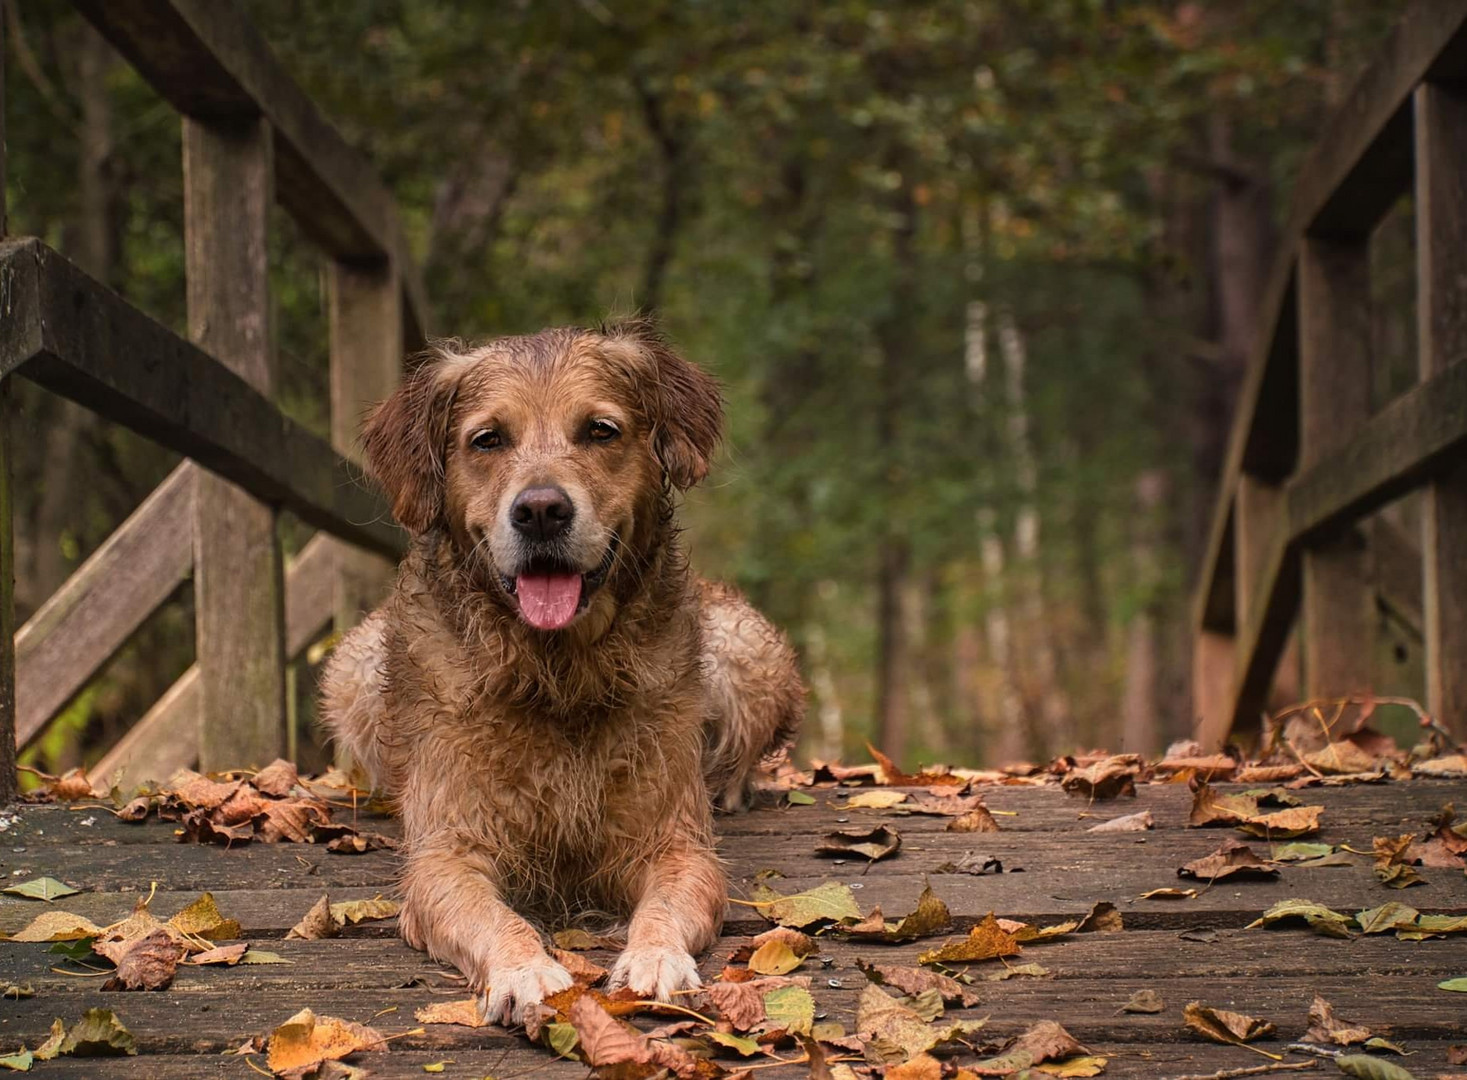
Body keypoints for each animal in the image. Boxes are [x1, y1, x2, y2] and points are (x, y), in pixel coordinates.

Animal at [321, 316, 803, 1027]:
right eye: (488, 439)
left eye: (600, 430)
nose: (542, 510)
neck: (557, 669)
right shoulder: (446, 854)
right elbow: (493, 916)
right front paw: (526, 970)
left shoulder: (675, 842)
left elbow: (667, 903)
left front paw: (656, 958)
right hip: (353, 668)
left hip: (747, 651)